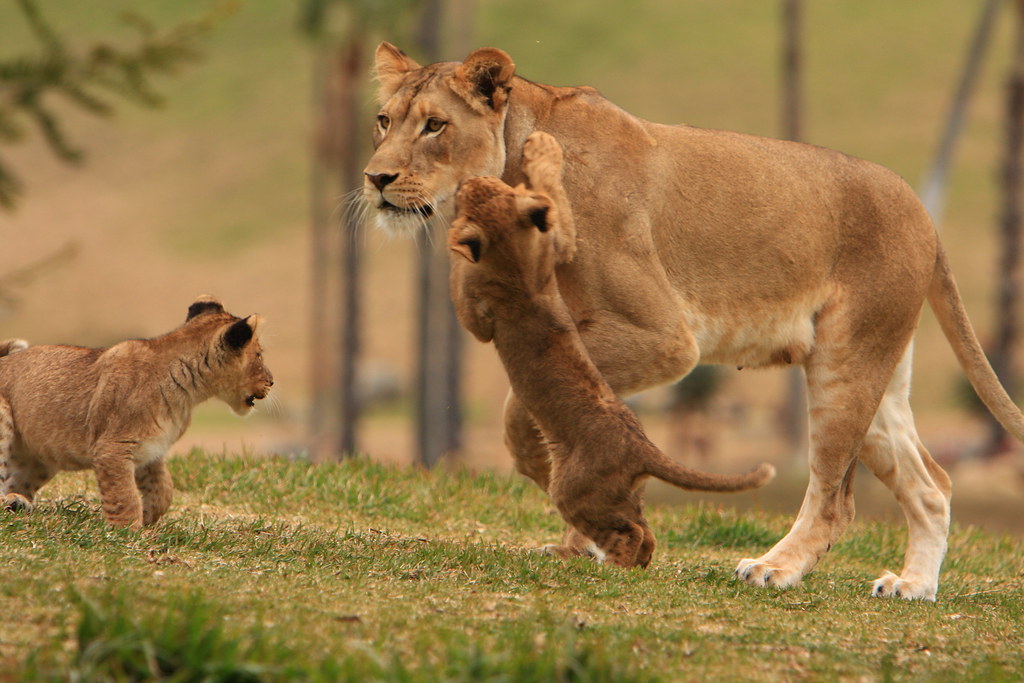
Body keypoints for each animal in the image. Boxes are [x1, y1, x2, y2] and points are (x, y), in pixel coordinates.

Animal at [0, 296, 273, 529]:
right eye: (259, 355)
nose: (271, 381)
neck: (188, 393)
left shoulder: (151, 450)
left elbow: (163, 490)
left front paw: (148, 517)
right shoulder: (112, 447)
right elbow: (124, 496)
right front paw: (127, 533)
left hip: (41, 457)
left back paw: (18, 502)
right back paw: (11, 503)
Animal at [450, 131, 775, 568]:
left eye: (474, 193)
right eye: (496, 188)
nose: (467, 181)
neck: (518, 260)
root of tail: (642, 448)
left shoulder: (482, 316)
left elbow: (463, 291)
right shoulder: (557, 243)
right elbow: (556, 204)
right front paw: (542, 148)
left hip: (573, 489)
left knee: (629, 532)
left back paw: (608, 566)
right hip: (625, 492)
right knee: (646, 533)